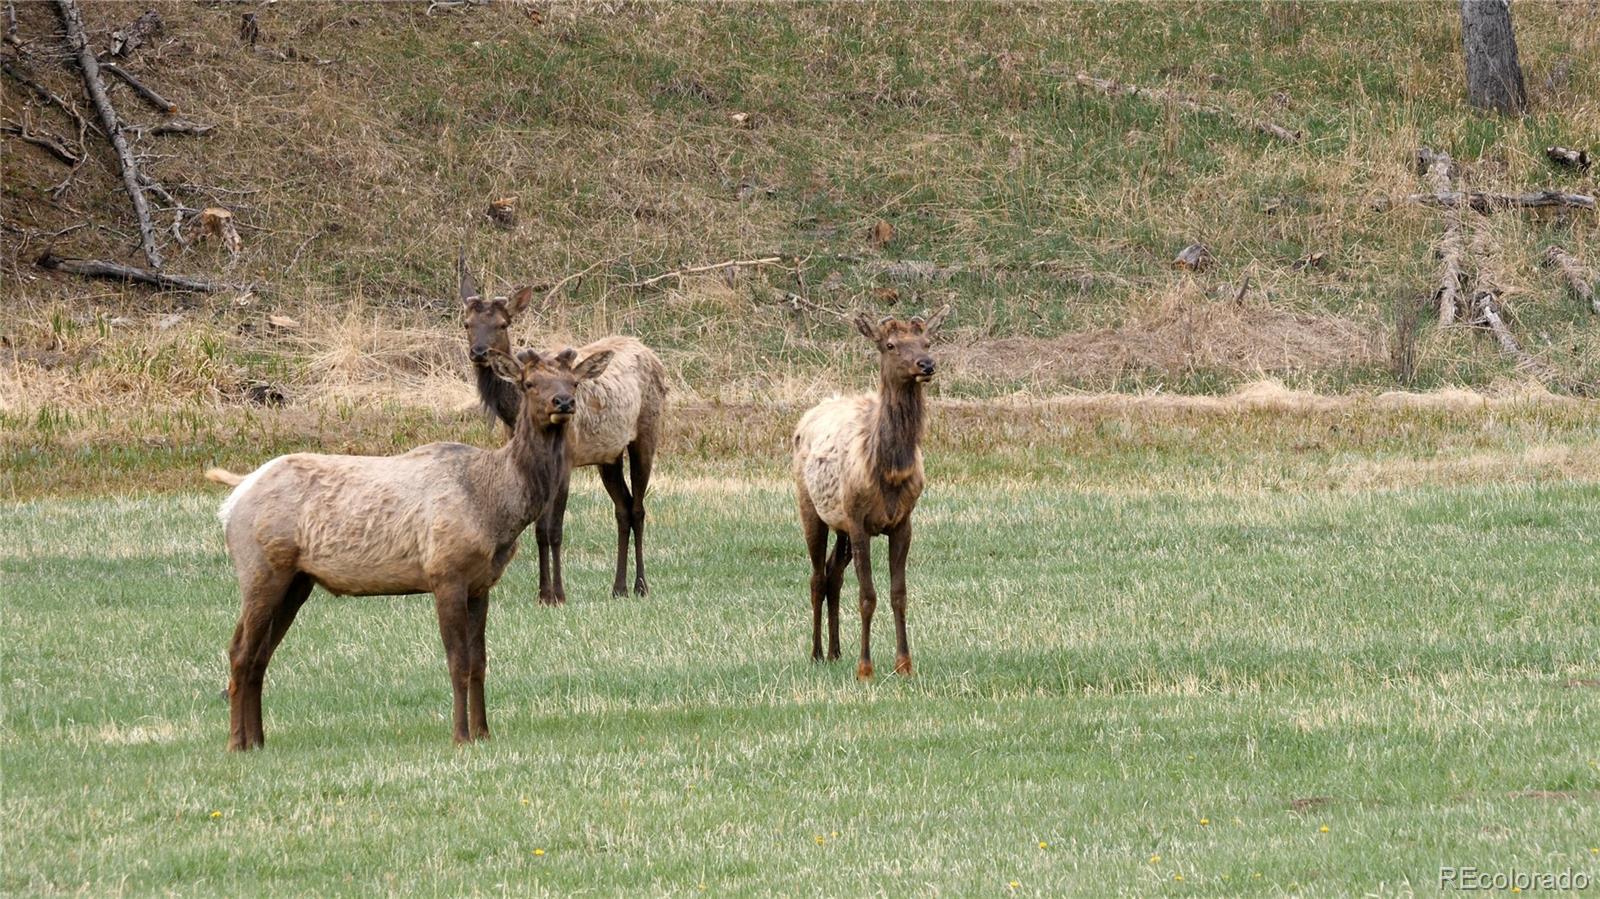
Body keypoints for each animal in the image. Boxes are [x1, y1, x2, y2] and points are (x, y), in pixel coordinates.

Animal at [209, 347, 608, 745]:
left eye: (573, 381)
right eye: (529, 384)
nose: (563, 402)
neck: (495, 505)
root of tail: (234, 498)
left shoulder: (481, 584)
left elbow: (480, 662)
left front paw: (483, 732)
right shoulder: (446, 573)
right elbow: (459, 662)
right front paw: (461, 736)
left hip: (297, 580)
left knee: (261, 655)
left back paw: (257, 740)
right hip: (261, 568)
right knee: (240, 650)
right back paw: (236, 742)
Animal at [460, 252, 665, 601]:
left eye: (503, 324)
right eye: (467, 324)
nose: (480, 352)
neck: (513, 415)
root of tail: (650, 351)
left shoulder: (566, 461)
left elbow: (553, 529)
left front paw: (556, 593)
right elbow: (537, 529)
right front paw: (543, 592)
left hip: (647, 433)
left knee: (638, 508)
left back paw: (640, 585)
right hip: (607, 455)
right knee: (623, 508)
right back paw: (618, 587)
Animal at [793, 311, 940, 675]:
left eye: (927, 342)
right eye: (890, 345)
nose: (926, 364)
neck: (889, 472)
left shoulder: (902, 522)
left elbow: (899, 593)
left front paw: (904, 664)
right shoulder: (859, 521)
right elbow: (867, 595)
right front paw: (865, 668)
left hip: (840, 523)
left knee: (833, 573)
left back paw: (835, 651)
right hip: (810, 506)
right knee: (816, 577)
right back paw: (816, 653)